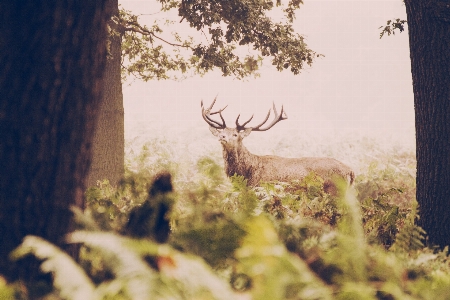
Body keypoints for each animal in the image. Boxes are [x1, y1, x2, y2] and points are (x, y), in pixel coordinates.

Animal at [201, 97, 356, 193]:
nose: (222, 137)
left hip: (335, 191)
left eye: (235, 134)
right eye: (222, 131)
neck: (247, 174)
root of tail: (350, 171)